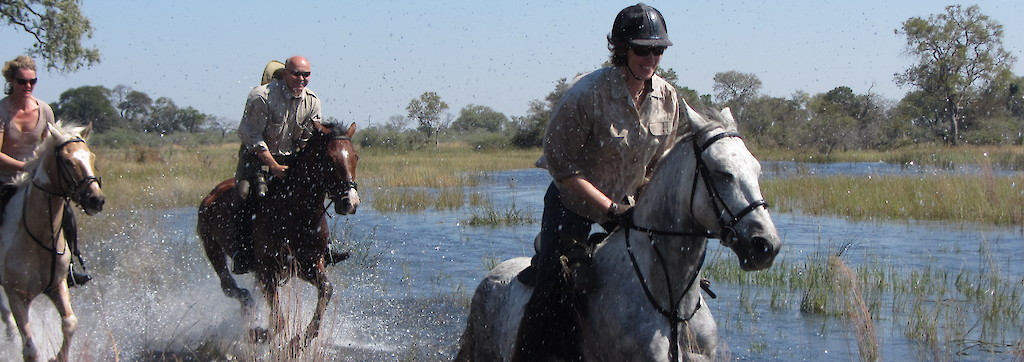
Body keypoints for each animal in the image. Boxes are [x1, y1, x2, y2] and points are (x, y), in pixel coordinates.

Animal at [0, 123, 103, 359]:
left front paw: (58, 356)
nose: (97, 200)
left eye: (91, 157)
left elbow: (70, 323)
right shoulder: (16, 295)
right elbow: (30, 349)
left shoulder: (57, 285)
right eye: (67, 161)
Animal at [196, 121, 360, 349]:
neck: (297, 214)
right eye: (329, 158)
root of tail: (211, 195)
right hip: (212, 247)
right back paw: (247, 307)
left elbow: (326, 290)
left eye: (355, 157)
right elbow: (278, 321)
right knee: (230, 287)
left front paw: (300, 340)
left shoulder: (308, 265)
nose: (350, 202)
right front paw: (258, 334)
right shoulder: (268, 271)